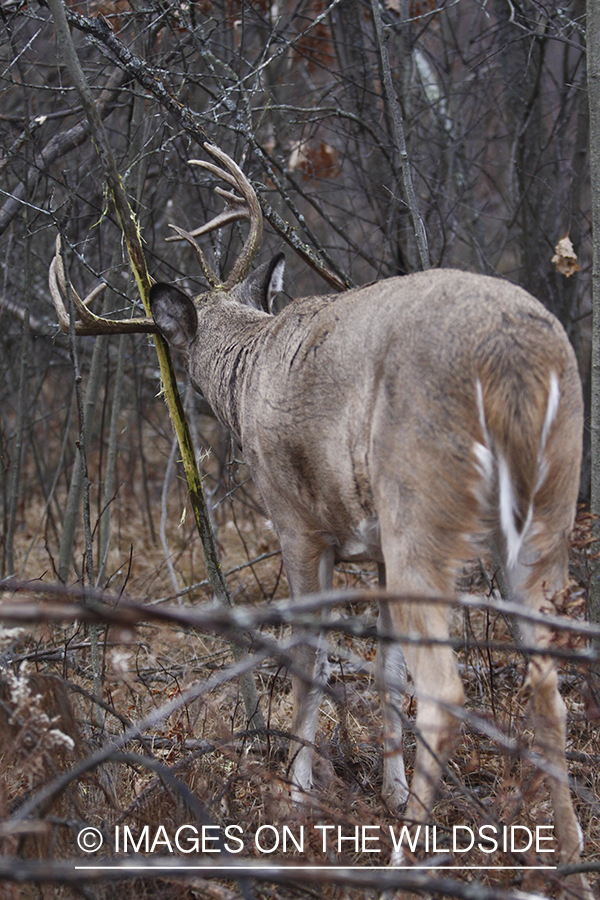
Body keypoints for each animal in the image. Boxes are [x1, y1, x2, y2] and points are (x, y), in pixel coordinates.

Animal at [50, 146, 592, 892]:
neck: (249, 367)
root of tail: (510, 357)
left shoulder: (298, 525)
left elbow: (312, 658)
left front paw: (298, 790)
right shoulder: (375, 550)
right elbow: (385, 671)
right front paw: (388, 788)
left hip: (419, 508)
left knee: (445, 689)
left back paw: (403, 867)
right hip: (547, 514)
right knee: (546, 687)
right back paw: (571, 865)